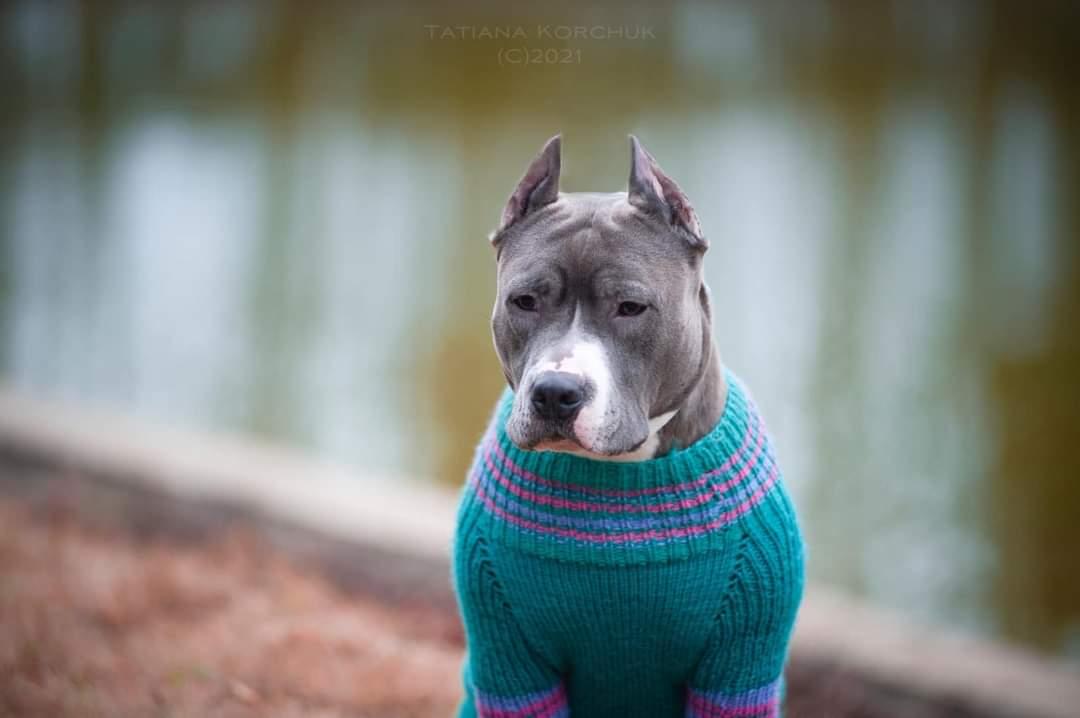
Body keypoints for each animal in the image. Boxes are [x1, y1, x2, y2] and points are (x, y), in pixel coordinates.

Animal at [451, 136, 807, 716]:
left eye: (631, 307)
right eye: (523, 301)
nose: (555, 393)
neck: (617, 473)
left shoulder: (738, 667)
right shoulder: (511, 661)